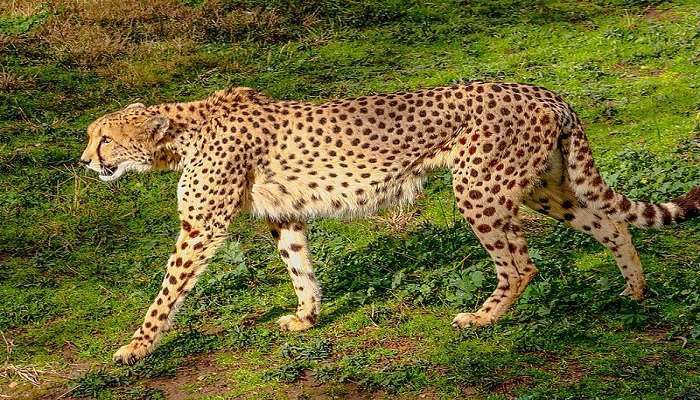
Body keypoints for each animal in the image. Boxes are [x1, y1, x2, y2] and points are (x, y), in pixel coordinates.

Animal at [79, 83, 696, 364]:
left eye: (104, 138)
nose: (84, 161)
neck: (180, 134)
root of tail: (540, 89)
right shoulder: (284, 215)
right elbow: (300, 269)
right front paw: (307, 317)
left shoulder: (201, 228)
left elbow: (166, 292)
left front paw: (135, 347)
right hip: (543, 186)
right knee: (612, 222)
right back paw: (634, 290)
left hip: (480, 189)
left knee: (521, 265)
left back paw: (482, 318)